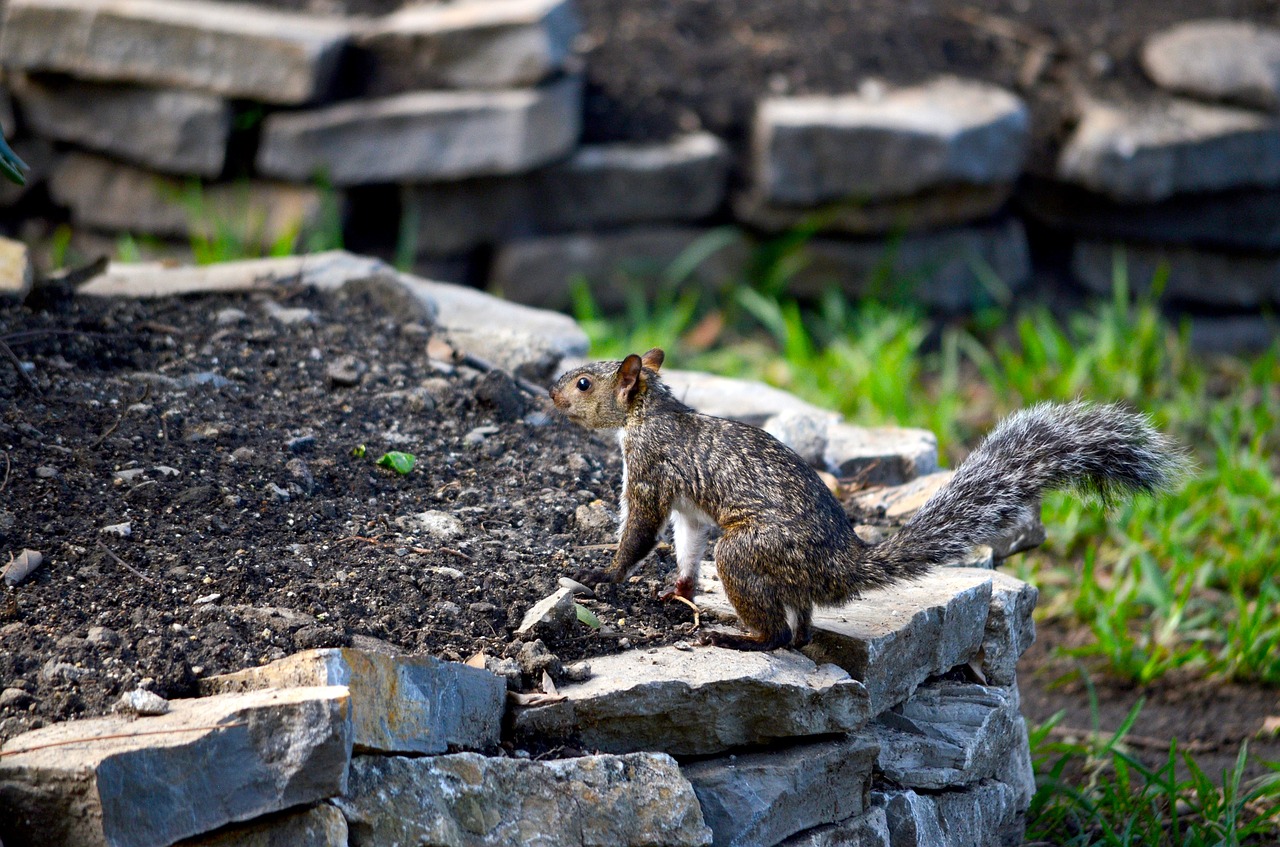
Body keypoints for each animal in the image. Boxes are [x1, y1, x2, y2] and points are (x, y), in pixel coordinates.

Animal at [545, 348, 1182, 652]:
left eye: (583, 383)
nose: (550, 393)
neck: (649, 412)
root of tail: (841, 566)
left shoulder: (650, 472)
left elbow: (641, 532)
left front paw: (603, 577)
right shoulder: (689, 510)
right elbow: (685, 544)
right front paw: (676, 589)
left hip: (748, 553)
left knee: (778, 634)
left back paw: (735, 636)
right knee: (800, 627)